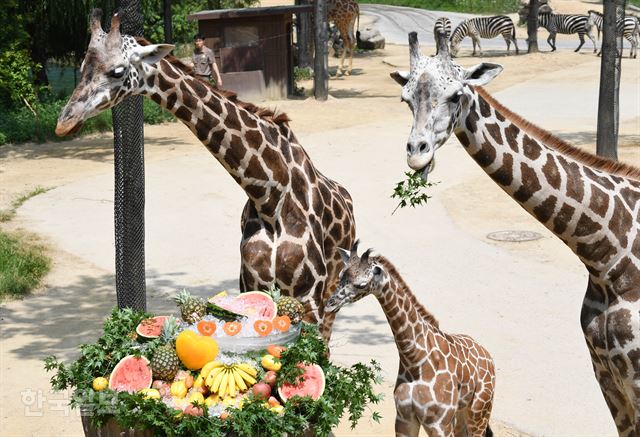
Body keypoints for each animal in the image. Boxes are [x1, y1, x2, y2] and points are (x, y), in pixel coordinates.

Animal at [55, 9, 358, 338]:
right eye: (83, 67)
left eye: (118, 71)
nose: (64, 123)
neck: (269, 196)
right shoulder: (252, 284)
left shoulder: (309, 295)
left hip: (331, 293)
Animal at [324, 242, 496, 436]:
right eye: (340, 276)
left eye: (361, 284)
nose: (329, 305)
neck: (415, 360)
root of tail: (488, 357)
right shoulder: (404, 419)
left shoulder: (440, 424)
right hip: (460, 414)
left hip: (479, 411)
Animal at [390, 29, 640, 432]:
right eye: (406, 98)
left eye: (455, 95)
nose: (417, 153)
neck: (607, 256)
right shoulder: (607, 374)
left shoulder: (634, 374)